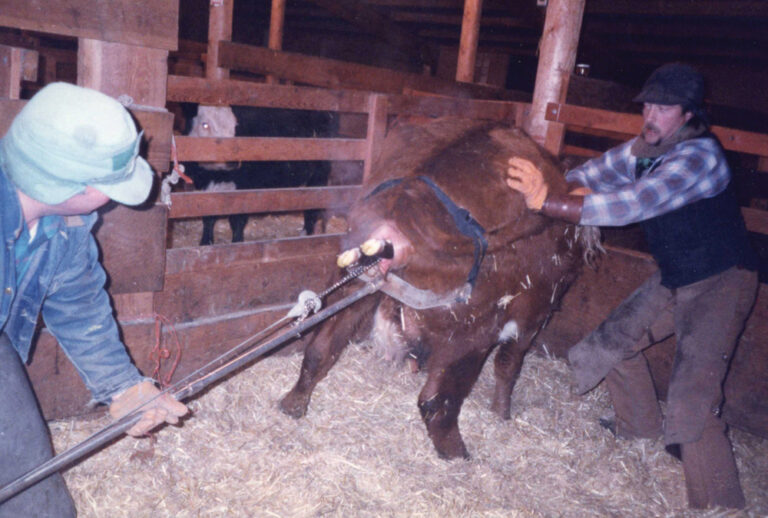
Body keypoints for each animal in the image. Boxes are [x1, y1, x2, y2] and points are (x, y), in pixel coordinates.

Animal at [184, 104, 337, 245]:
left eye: (236, 126)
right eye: (205, 124)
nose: (233, 160)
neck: (217, 175)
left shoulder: (245, 186)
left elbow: (237, 220)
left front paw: (237, 243)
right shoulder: (204, 187)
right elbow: (208, 217)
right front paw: (206, 242)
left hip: (318, 175)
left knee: (313, 207)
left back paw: (307, 234)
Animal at [278, 116, 601, 459]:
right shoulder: (532, 314)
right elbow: (508, 365)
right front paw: (501, 413)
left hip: (351, 289)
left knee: (319, 350)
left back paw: (293, 404)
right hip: (470, 334)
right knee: (436, 400)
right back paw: (458, 453)